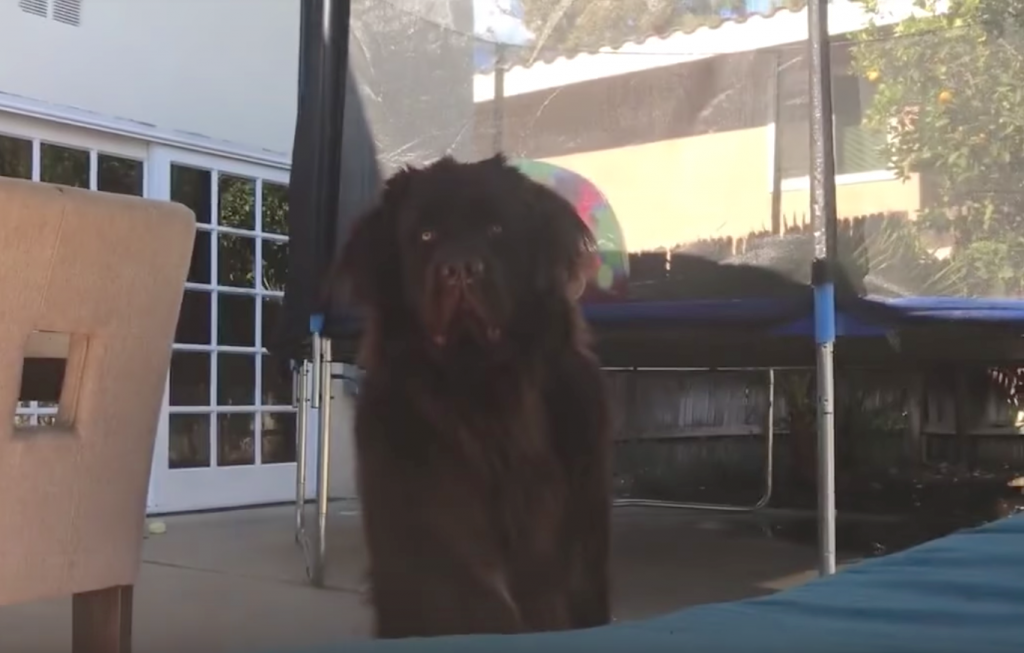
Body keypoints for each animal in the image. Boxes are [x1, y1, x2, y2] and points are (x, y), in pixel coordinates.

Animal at [331, 155, 610, 642]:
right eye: (426, 236)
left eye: (496, 229)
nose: (460, 266)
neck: (482, 390)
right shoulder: (430, 529)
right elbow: (473, 604)